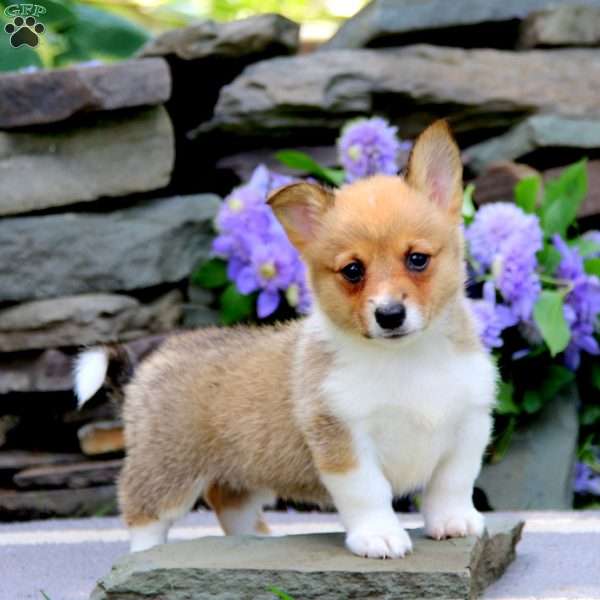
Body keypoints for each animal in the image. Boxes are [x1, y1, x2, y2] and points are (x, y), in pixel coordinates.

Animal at [74, 120, 496, 556]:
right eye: (353, 270)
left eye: (417, 259)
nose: (390, 315)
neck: (406, 358)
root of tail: (148, 367)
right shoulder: (343, 440)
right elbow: (368, 494)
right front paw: (379, 536)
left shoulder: (469, 427)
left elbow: (452, 484)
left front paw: (453, 523)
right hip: (167, 468)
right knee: (144, 514)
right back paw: (149, 553)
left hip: (242, 473)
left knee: (230, 504)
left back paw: (253, 542)